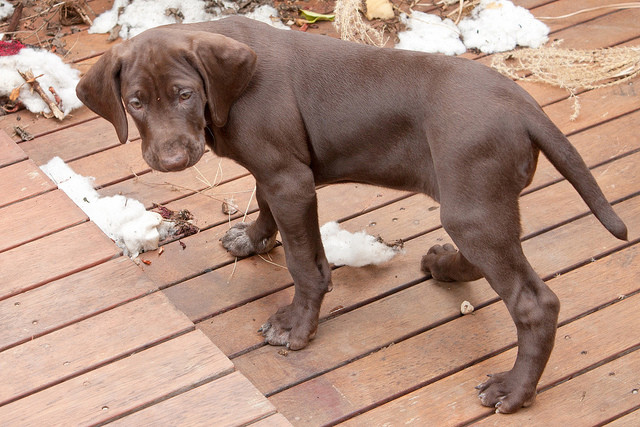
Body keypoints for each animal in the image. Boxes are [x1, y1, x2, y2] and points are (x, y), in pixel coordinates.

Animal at [75, 16, 624, 414]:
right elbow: (264, 205)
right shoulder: (278, 171)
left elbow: (304, 263)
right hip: (477, 202)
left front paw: (296, 325)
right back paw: (445, 265)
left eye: (185, 95)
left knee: (534, 303)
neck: (229, 89)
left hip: (472, 202)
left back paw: (514, 390)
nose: (171, 159)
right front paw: (253, 239)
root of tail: (524, 105)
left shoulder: (291, 180)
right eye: (136, 102)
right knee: (486, 257)